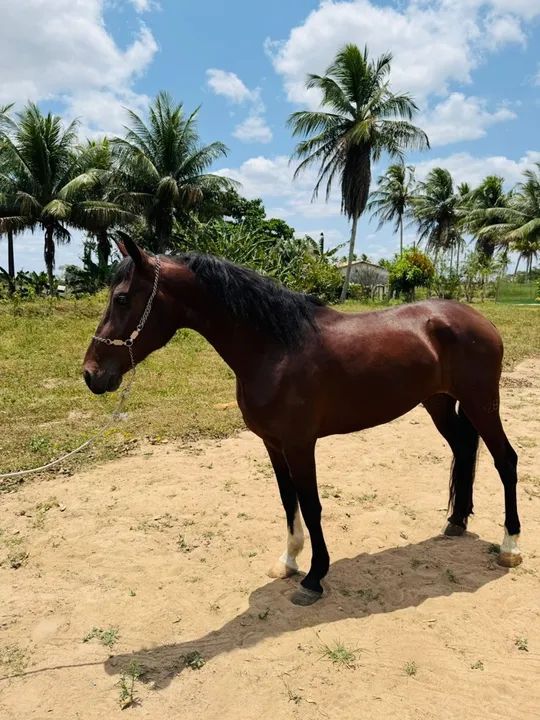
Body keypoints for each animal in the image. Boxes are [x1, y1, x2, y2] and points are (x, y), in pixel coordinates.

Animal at [83, 237, 522, 606]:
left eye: (122, 298)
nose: (91, 374)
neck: (275, 349)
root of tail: (477, 319)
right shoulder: (272, 443)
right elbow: (287, 499)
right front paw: (289, 561)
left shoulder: (299, 444)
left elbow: (311, 505)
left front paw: (314, 577)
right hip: (439, 403)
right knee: (464, 449)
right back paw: (456, 522)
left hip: (482, 403)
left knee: (506, 460)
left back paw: (510, 546)